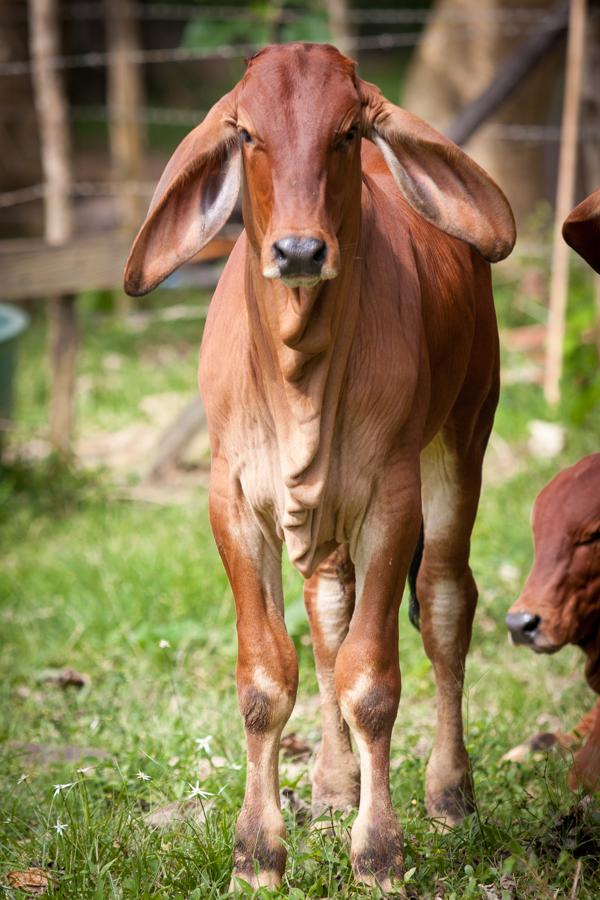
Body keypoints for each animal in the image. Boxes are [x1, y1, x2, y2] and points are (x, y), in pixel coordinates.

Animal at [123, 44, 516, 892]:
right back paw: (335, 787)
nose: (300, 251)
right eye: (246, 133)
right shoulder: (234, 503)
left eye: (346, 131)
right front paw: (257, 854)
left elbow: (371, 682)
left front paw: (379, 854)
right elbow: (268, 678)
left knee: (446, 605)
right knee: (329, 611)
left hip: (464, 437)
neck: (298, 368)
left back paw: (450, 792)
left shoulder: (392, 501)